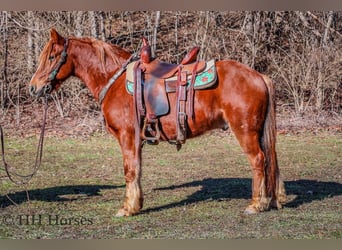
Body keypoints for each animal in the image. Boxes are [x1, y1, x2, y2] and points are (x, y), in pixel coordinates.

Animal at [28, 28, 286, 217]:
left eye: (51, 57)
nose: (33, 87)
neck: (114, 79)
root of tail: (259, 76)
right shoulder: (137, 140)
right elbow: (137, 169)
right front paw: (137, 203)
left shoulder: (127, 136)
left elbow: (130, 170)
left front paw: (128, 208)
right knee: (270, 159)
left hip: (245, 131)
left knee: (258, 160)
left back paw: (257, 204)